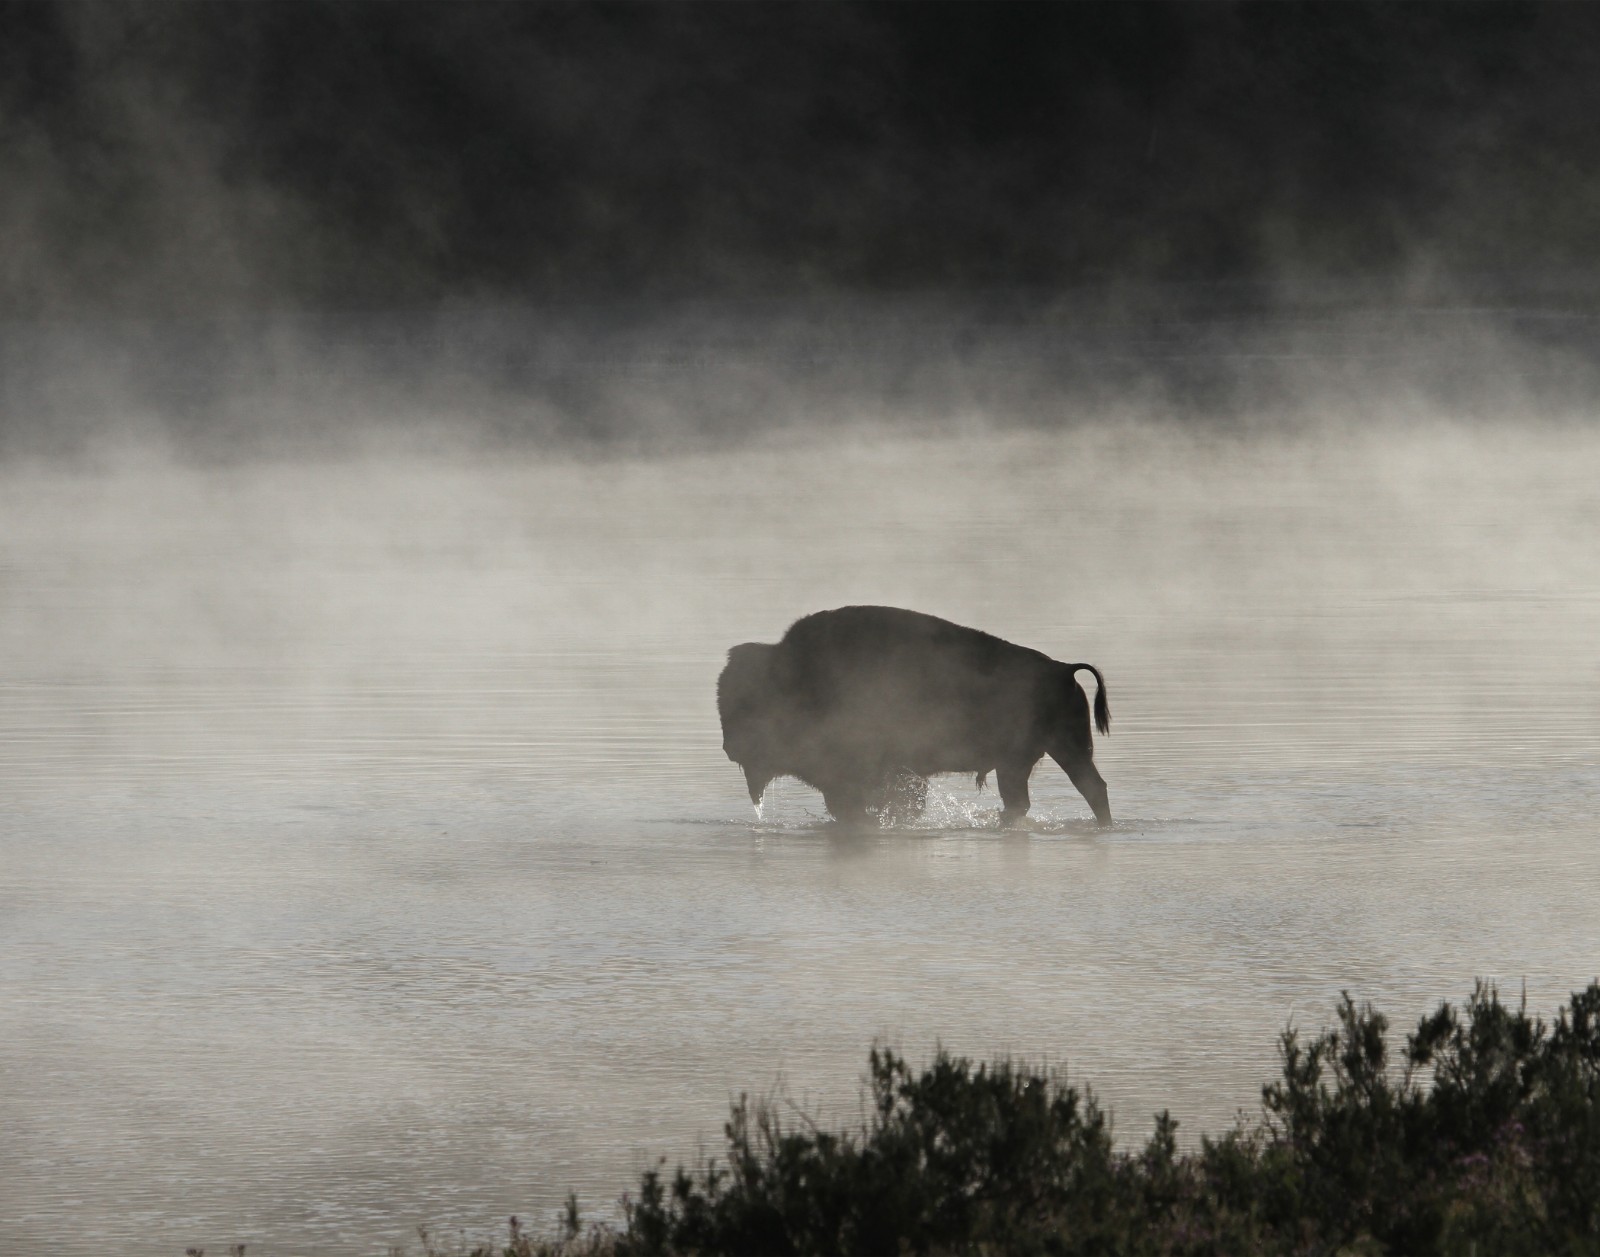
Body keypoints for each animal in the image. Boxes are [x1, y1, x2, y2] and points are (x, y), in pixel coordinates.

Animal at [717, 606, 1111, 826]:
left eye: (747, 704)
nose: (730, 748)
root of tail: (1062, 670)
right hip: (1035, 760)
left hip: (1052, 754)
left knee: (1083, 791)